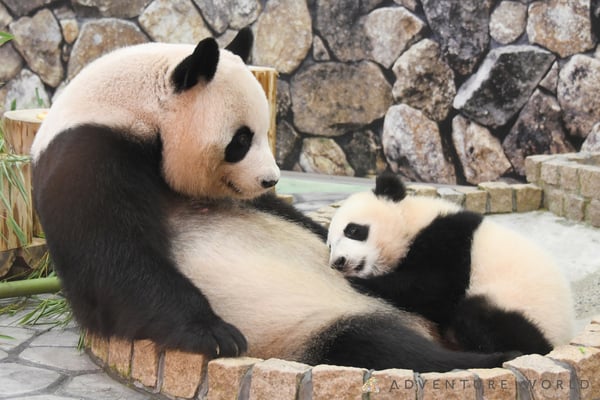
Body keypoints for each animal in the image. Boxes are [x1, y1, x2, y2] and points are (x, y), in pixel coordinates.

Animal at [29, 28, 516, 372]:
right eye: (241, 140)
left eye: (266, 131)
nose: (270, 179)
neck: (132, 109)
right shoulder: (89, 153)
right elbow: (114, 260)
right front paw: (216, 334)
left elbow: (296, 218)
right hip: (304, 327)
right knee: (380, 347)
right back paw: (484, 359)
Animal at [328, 173, 576, 354]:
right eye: (329, 245)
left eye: (353, 230)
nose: (338, 262)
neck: (412, 221)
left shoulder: (450, 241)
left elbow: (435, 288)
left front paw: (364, 283)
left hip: (521, 307)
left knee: (481, 318)